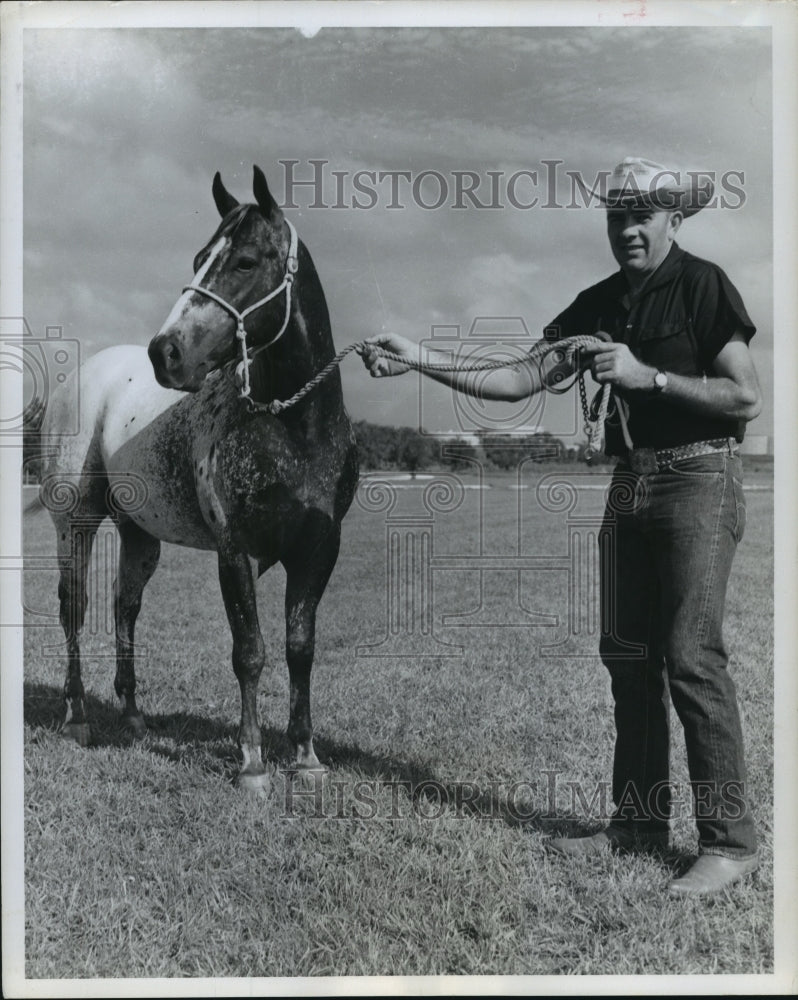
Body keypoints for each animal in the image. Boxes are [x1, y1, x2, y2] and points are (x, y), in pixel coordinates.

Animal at [39, 162, 360, 788]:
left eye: (245, 262)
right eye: (197, 258)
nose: (166, 353)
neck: (294, 429)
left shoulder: (319, 548)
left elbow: (300, 647)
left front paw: (306, 756)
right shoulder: (234, 551)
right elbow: (250, 651)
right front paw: (253, 763)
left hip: (139, 533)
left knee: (125, 607)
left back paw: (133, 715)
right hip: (76, 524)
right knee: (75, 608)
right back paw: (78, 716)